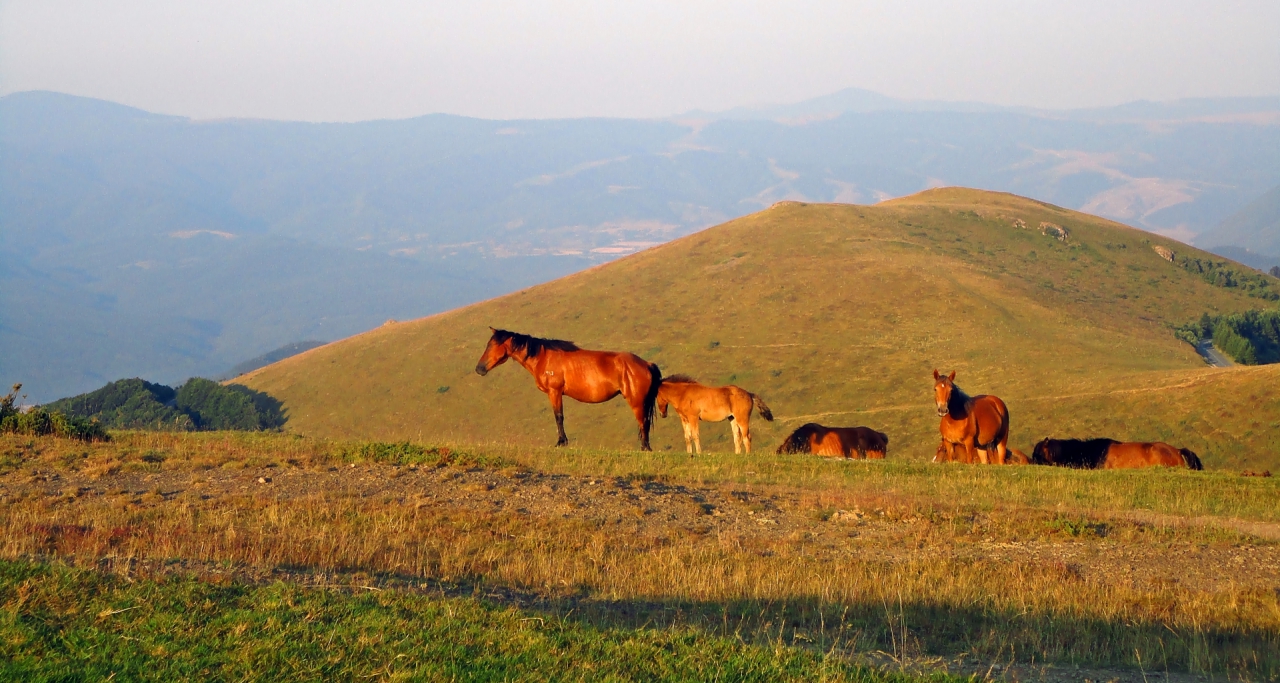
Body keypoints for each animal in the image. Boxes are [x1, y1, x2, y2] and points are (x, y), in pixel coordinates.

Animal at [476, 329, 665, 452]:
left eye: (491, 345)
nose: (479, 368)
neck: (544, 357)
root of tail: (647, 364)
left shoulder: (555, 392)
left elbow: (558, 417)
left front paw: (561, 442)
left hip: (636, 401)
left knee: (643, 422)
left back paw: (645, 448)